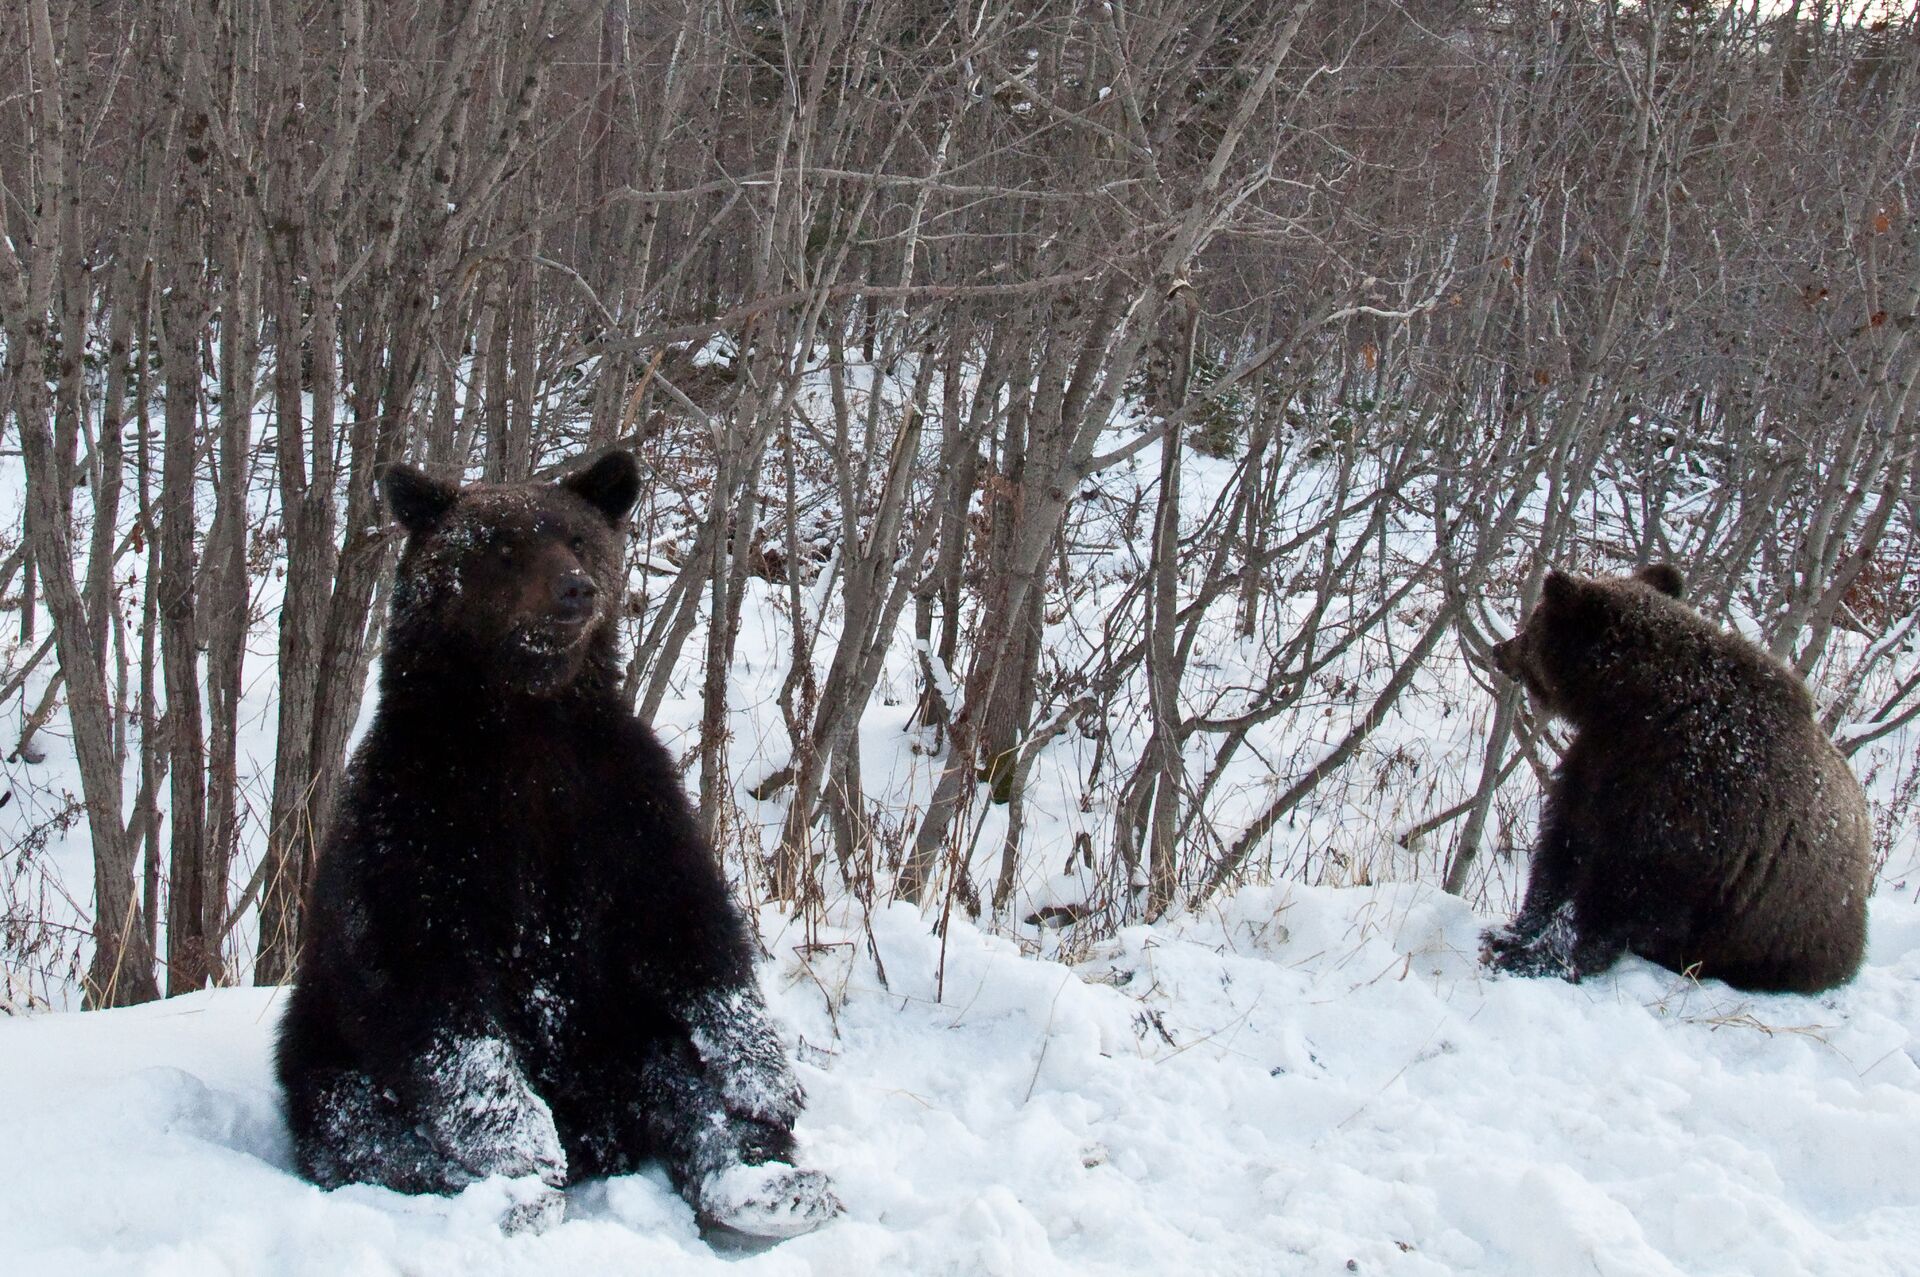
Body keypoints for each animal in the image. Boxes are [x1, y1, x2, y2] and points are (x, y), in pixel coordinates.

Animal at [272, 451, 840, 1236]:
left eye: (576, 538)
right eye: (500, 546)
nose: (576, 590)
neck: (525, 719)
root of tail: (604, 1134)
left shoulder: (618, 799)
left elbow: (689, 926)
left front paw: (766, 1078)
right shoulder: (414, 818)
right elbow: (428, 984)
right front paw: (517, 1143)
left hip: (626, 1034)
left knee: (687, 1080)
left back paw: (769, 1184)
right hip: (322, 1047)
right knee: (354, 1125)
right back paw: (508, 1195)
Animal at [1474, 564, 1866, 990]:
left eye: (1532, 625)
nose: (1500, 649)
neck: (1635, 707)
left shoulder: (1690, 804)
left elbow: (1619, 892)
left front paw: (1539, 957)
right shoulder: (1595, 767)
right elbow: (1561, 851)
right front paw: (1509, 934)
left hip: (1785, 933)